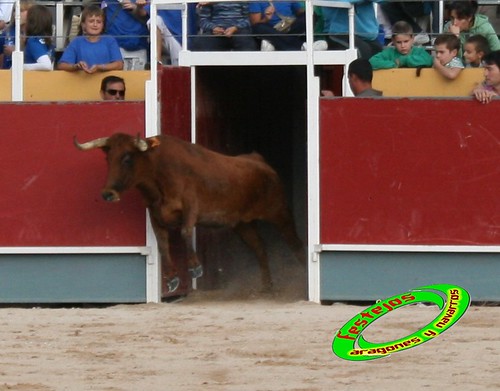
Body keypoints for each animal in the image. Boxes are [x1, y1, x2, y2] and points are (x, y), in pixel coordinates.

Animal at [74, 133, 304, 292]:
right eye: (108, 158)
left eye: (128, 158)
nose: (108, 194)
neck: (158, 177)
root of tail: (260, 161)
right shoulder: (155, 215)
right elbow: (163, 244)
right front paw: (172, 279)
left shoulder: (191, 206)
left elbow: (185, 232)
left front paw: (195, 268)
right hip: (242, 224)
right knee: (260, 248)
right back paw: (267, 286)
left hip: (279, 212)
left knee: (295, 243)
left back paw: (302, 273)